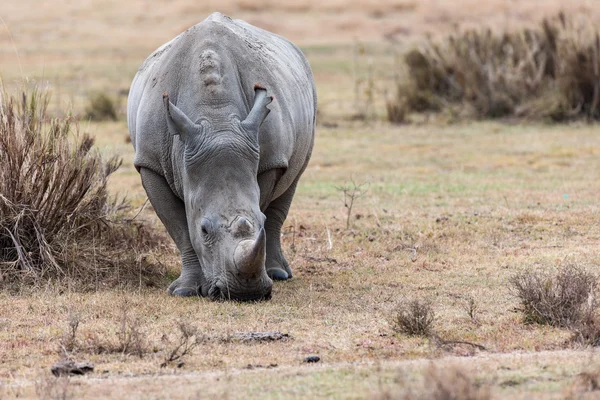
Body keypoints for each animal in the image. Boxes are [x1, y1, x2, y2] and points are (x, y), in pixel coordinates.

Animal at [126, 11, 314, 300]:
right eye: (204, 229)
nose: (245, 293)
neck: (217, 120)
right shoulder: (150, 163)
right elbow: (180, 228)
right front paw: (186, 290)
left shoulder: (269, 161)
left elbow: (263, 206)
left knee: (291, 182)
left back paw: (279, 274)